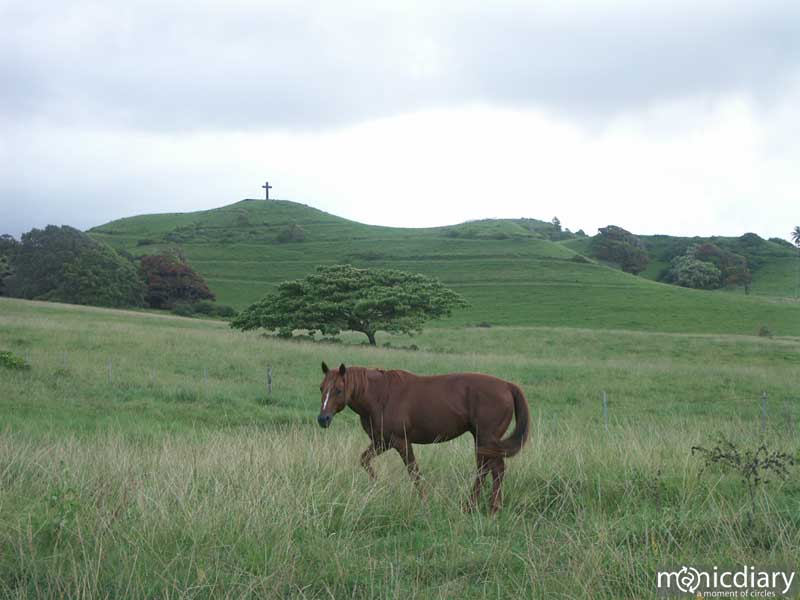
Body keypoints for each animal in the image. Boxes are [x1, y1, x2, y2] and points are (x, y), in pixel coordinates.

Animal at [317, 362, 530, 513]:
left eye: (338, 390)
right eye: (321, 388)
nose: (322, 419)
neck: (381, 395)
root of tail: (507, 386)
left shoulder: (401, 442)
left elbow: (414, 472)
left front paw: (425, 503)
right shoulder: (381, 442)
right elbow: (364, 460)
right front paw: (379, 486)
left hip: (486, 439)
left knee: (493, 469)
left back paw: (486, 508)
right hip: (483, 440)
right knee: (488, 469)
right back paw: (475, 507)